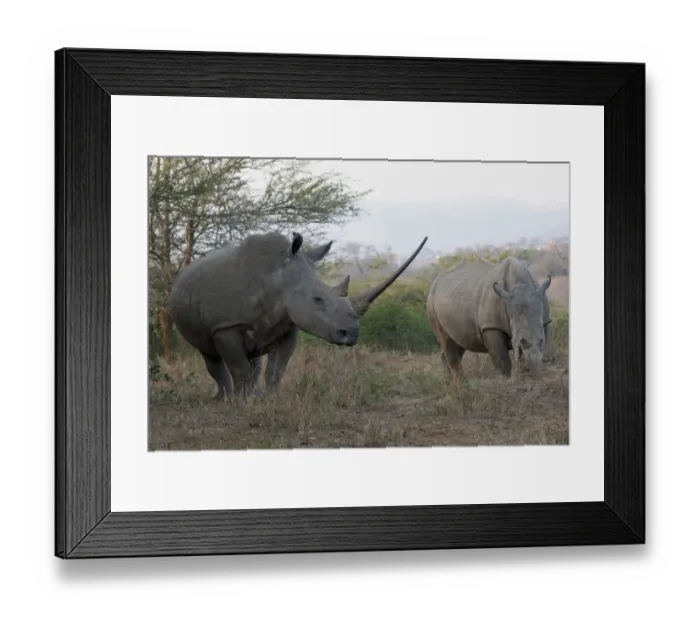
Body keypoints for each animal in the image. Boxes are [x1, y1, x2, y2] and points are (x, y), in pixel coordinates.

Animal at [168, 231, 428, 400]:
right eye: (318, 299)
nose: (352, 334)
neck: (278, 279)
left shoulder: (290, 324)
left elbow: (276, 369)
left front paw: (271, 399)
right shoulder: (225, 327)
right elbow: (238, 367)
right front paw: (241, 404)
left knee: (254, 361)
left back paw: (252, 394)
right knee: (210, 354)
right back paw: (224, 399)